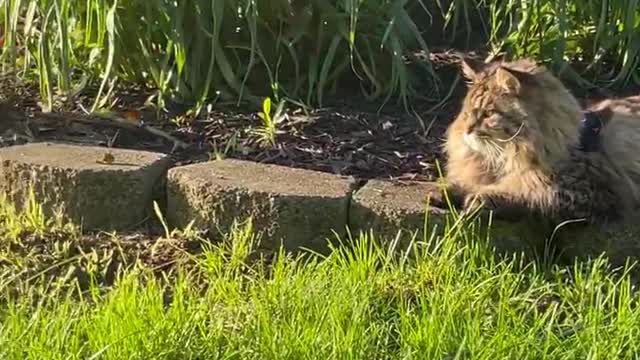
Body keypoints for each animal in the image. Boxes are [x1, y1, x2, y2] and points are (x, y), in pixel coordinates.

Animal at [442, 56, 640, 224]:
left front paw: (480, 198)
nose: (467, 130)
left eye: (488, 114)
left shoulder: (579, 190)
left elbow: (521, 192)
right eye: (467, 112)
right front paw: (446, 190)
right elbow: (468, 183)